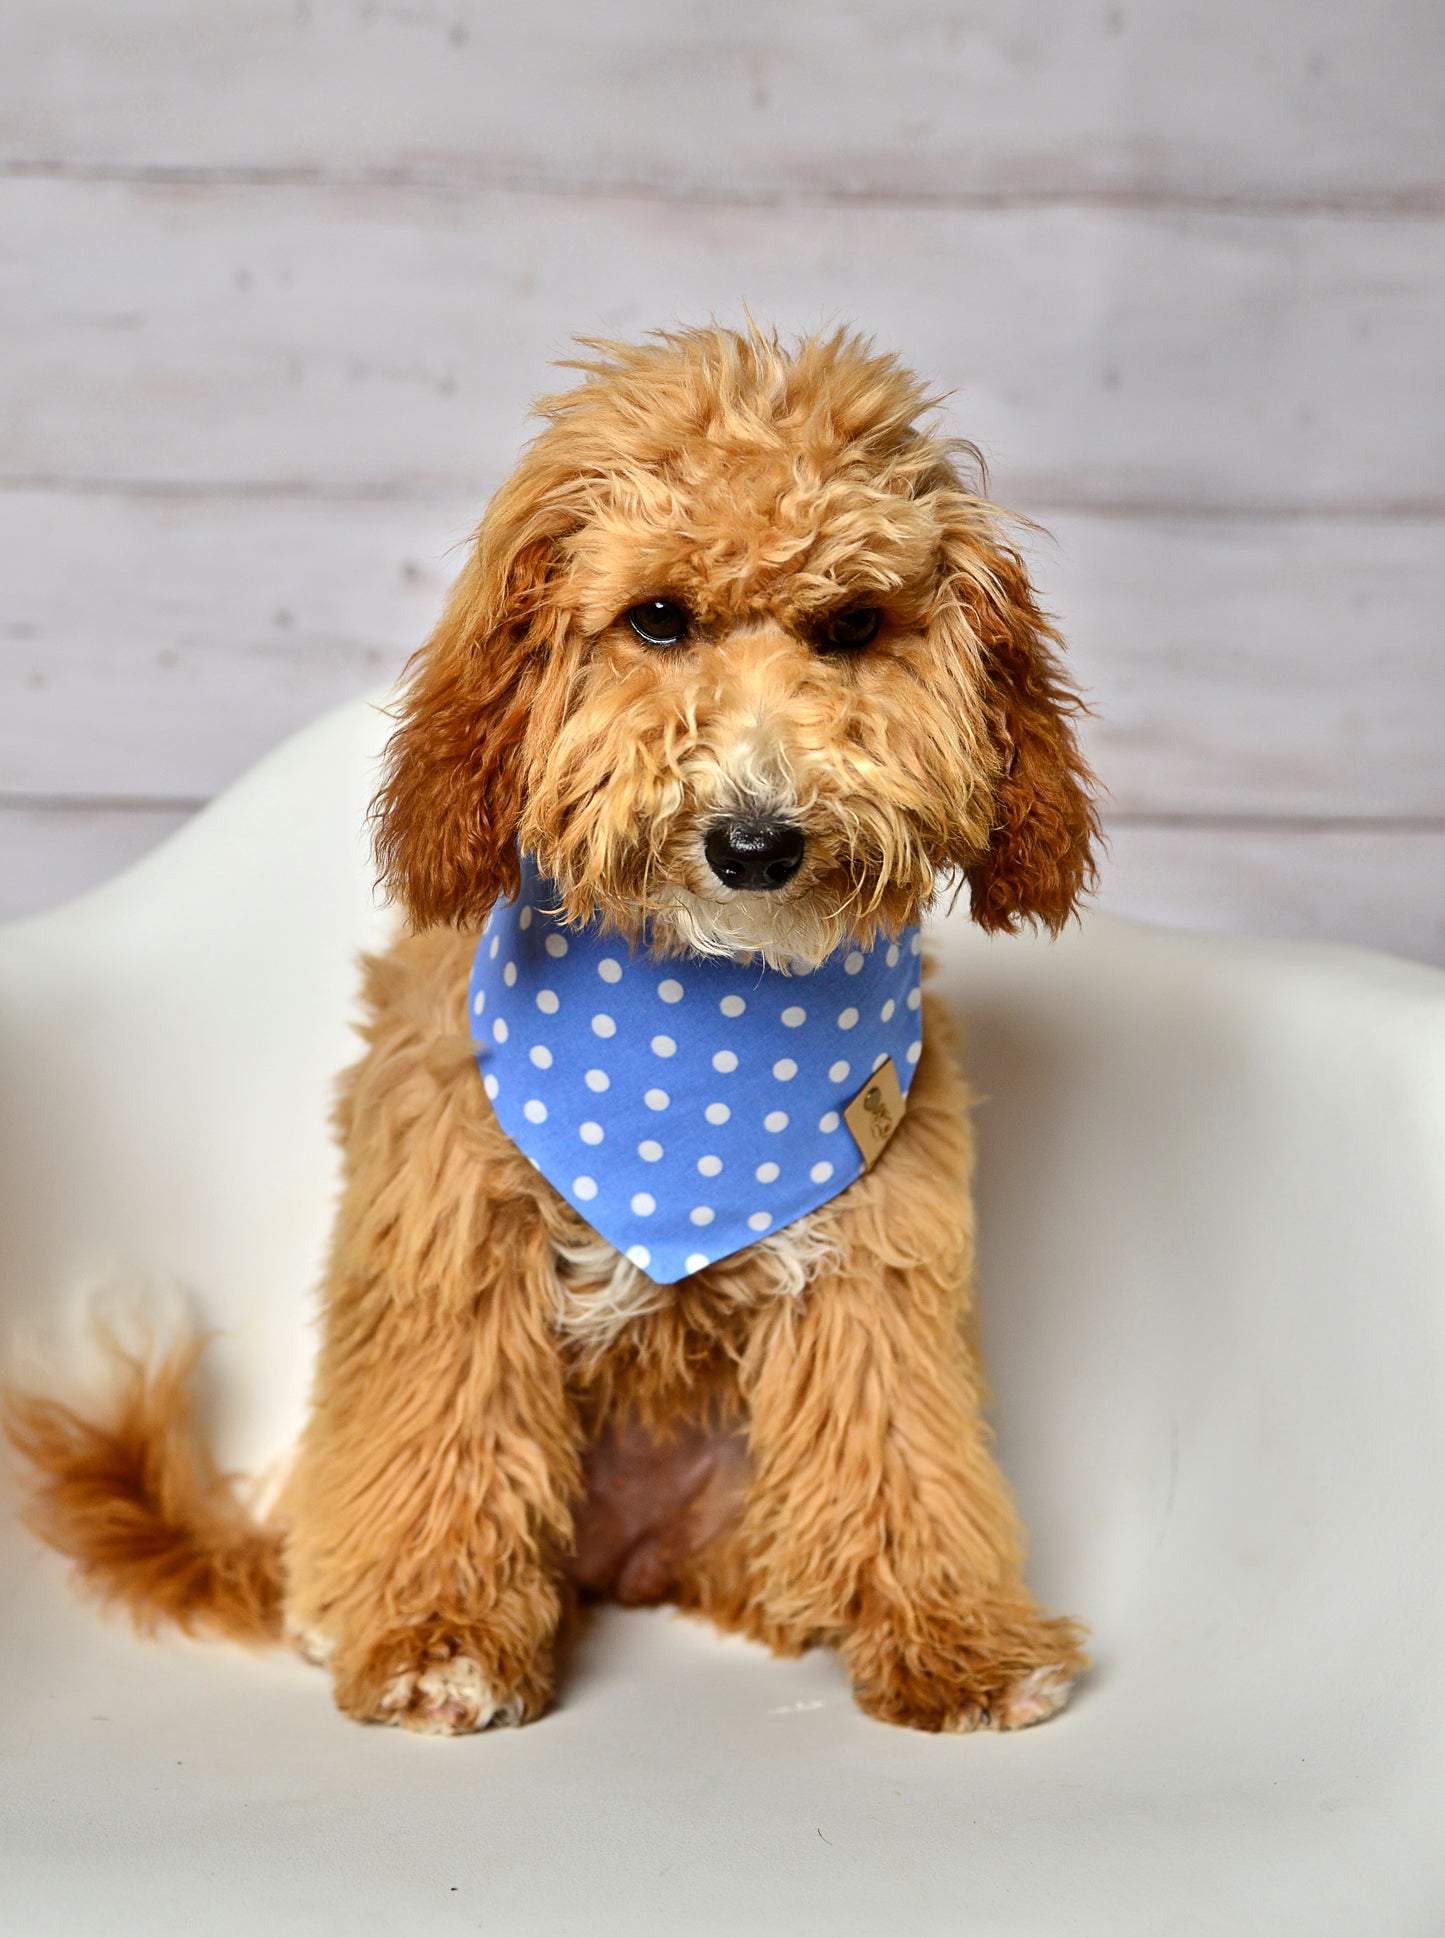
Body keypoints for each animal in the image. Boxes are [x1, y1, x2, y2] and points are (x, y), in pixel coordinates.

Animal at [5, 325, 1100, 1736]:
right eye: (657, 618)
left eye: (851, 626)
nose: (755, 842)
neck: (699, 1025)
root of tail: (632, 1565)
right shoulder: (452, 1237)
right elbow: (447, 1437)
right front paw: (437, 1640)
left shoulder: (876, 1264)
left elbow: (903, 1452)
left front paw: (956, 1642)